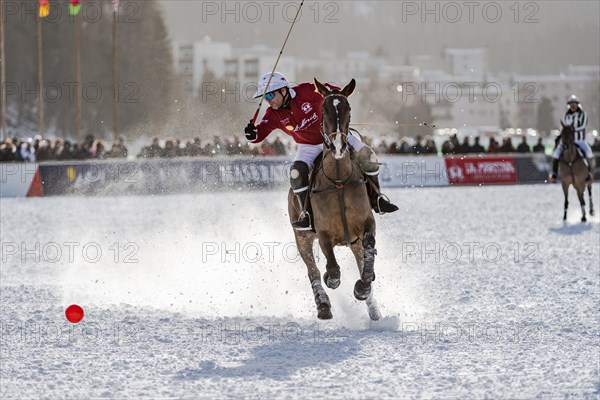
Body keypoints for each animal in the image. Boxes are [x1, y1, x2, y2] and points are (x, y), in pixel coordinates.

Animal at [290, 79, 382, 322]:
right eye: (324, 110)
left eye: (348, 108)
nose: (339, 146)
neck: (339, 180)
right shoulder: (323, 233)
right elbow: (331, 271)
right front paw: (330, 279)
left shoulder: (367, 223)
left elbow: (369, 253)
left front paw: (363, 287)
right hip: (301, 236)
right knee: (311, 270)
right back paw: (323, 305)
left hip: (354, 241)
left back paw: (374, 309)